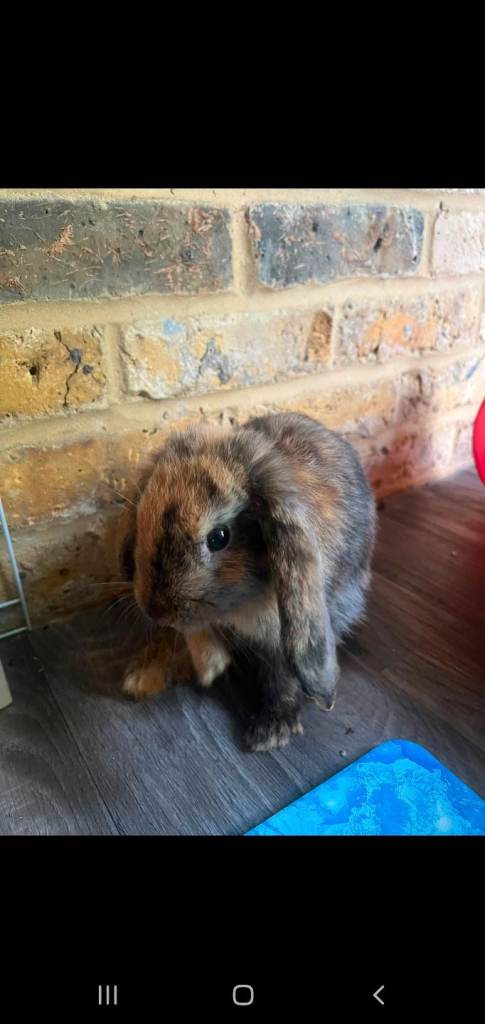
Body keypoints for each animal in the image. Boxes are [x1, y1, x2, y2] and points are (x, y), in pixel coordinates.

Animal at [117, 412, 377, 752]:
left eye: (219, 537)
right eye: (143, 512)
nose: (155, 610)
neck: (241, 606)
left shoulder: (280, 637)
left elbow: (284, 677)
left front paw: (271, 732)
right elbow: (197, 633)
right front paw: (210, 667)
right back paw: (144, 677)